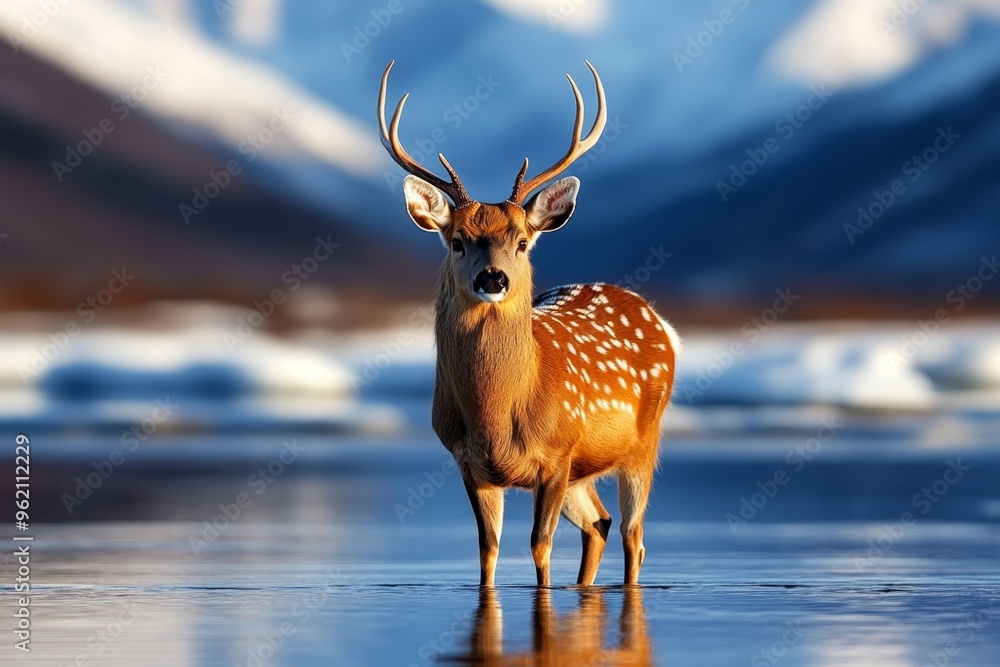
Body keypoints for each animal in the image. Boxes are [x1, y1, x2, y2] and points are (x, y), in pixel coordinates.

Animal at [378, 60, 680, 587]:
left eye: (521, 240)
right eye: (457, 240)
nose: (492, 278)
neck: (498, 415)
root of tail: (661, 322)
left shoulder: (558, 454)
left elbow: (540, 547)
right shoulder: (470, 463)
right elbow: (488, 550)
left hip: (643, 444)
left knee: (633, 535)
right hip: (587, 471)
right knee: (600, 524)